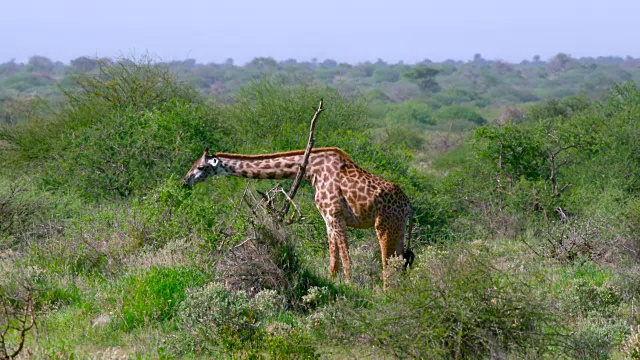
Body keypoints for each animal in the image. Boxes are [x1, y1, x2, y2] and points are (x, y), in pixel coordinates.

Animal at [185, 146, 416, 286]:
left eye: (201, 167)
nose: (185, 181)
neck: (312, 170)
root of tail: (408, 205)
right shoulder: (327, 218)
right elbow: (333, 260)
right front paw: (334, 285)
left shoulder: (336, 215)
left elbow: (346, 258)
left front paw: (352, 287)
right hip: (398, 228)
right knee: (399, 261)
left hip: (384, 225)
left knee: (389, 263)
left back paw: (385, 294)